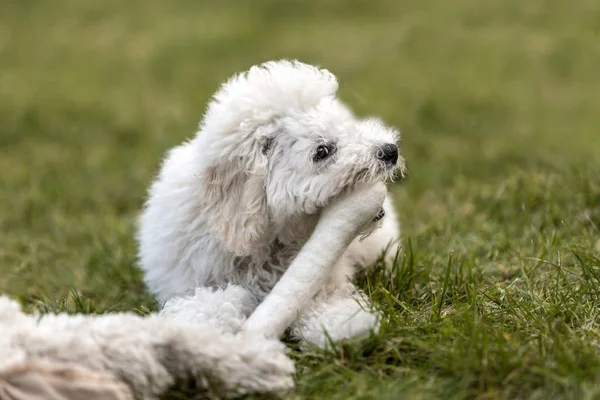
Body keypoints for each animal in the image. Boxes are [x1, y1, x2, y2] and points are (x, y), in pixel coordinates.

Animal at [138, 60, 406, 346]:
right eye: (322, 151)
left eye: (347, 125)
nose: (390, 151)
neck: (268, 242)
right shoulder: (192, 283)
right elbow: (210, 305)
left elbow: (320, 302)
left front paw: (348, 323)